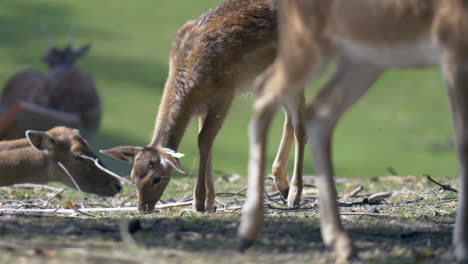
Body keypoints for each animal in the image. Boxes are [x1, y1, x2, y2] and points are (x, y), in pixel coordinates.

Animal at [101, 0, 308, 212]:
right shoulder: (202, 107)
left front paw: (198, 202)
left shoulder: (225, 94)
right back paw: (282, 187)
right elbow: (208, 143)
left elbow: (203, 140)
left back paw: (294, 196)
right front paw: (209, 202)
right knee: (290, 118)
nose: (143, 208)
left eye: (156, 178)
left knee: (301, 124)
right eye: (133, 177)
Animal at [239, 0, 468, 262]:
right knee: (267, 90)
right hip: (312, 45)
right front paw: (462, 245)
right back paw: (249, 231)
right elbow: (463, 143)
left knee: (315, 112)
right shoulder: (453, 46)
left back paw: (339, 241)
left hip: (364, 60)